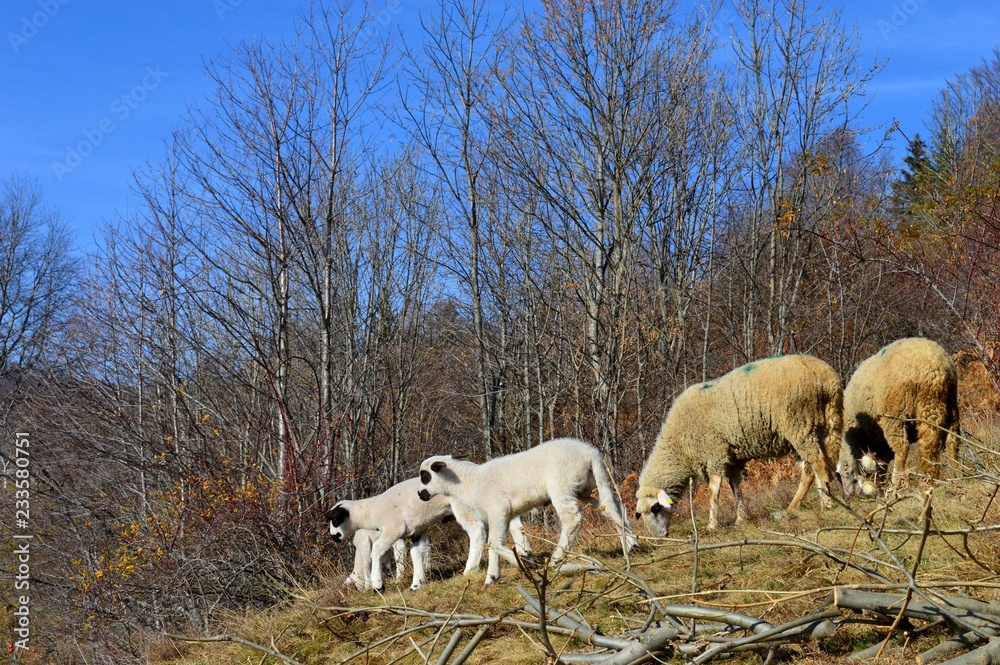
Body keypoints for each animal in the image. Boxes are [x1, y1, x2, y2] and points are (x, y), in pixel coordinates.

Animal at [326, 477, 529, 591]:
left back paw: (470, 569)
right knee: (514, 523)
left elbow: (376, 551)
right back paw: (524, 553)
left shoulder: (393, 529)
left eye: (335, 520)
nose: (333, 537)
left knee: (477, 532)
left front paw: (377, 584)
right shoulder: (417, 530)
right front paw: (417, 583)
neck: (373, 510)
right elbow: (416, 553)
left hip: (463, 505)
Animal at [417, 437, 638, 586]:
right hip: (585, 487)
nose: (420, 494)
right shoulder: (502, 514)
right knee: (612, 506)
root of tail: (590, 453)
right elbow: (495, 544)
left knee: (572, 519)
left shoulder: (497, 508)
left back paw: (557, 558)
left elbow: (494, 543)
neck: (470, 481)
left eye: (425, 476)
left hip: (562, 487)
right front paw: (492, 577)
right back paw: (631, 544)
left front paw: (526, 562)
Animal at [634, 354, 843, 536]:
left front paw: (711, 525)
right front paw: (740, 519)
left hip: (799, 423)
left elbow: (713, 492)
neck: (678, 447)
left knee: (818, 464)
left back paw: (826, 504)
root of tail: (826, 378)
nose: (659, 536)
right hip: (828, 422)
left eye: (655, 508)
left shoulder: (715, 453)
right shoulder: (732, 460)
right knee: (811, 469)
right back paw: (795, 507)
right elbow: (736, 488)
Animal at [838, 337, 960, 497]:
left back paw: (898, 486)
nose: (848, 496)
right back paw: (956, 477)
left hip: (895, 415)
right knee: (952, 441)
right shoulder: (880, 446)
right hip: (948, 405)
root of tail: (935, 368)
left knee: (902, 449)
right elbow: (880, 465)